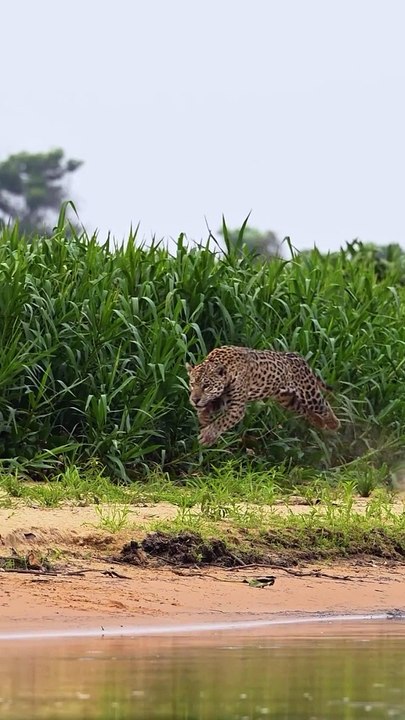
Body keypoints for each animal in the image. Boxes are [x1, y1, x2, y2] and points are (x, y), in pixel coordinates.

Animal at [186, 345, 340, 446]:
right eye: (192, 384)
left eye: (206, 386)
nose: (194, 400)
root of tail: (299, 356)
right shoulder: (223, 400)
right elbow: (209, 408)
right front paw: (204, 417)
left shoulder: (236, 408)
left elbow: (222, 421)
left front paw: (207, 436)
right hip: (286, 399)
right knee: (304, 409)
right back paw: (318, 422)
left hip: (308, 392)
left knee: (323, 405)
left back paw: (333, 424)